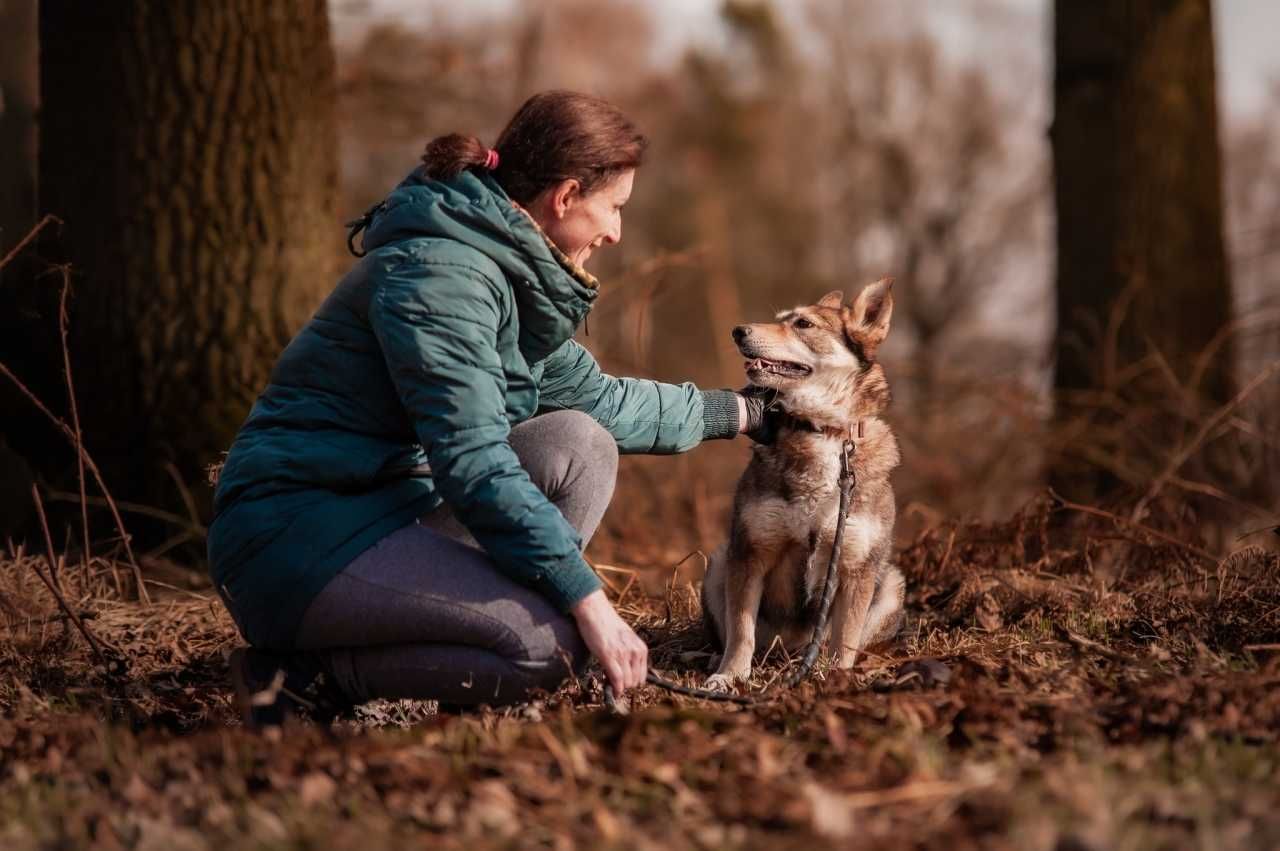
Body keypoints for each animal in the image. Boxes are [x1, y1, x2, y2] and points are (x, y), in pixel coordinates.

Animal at [701, 278, 901, 691]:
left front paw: (838, 676)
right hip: (719, 563)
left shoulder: (857, 567)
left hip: (889, 582)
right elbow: (741, 629)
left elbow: (845, 638)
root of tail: (791, 652)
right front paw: (730, 677)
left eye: (804, 324)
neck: (821, 431)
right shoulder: (750, 552)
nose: (738, 331)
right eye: (780, 319)